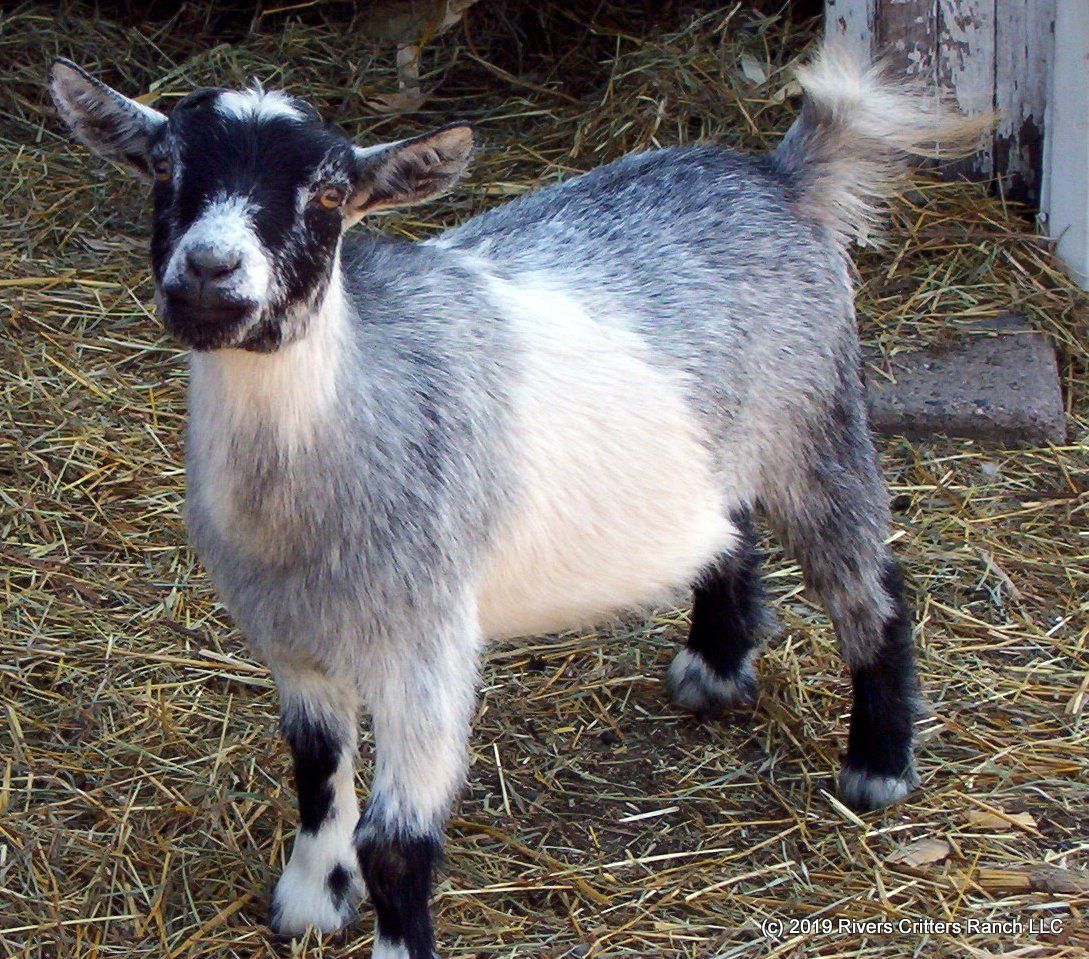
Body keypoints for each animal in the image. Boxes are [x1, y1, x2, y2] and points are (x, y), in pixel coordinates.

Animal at [48, 44, 984, 959]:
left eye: (329, 193)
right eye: (163, 168)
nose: (210, 272)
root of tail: (779, 174)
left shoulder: (425, 641)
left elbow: (396, 841)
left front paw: (391, 937)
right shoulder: (290, 632)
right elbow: (315, 773)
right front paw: (312, 899)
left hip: (815, 422)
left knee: (871, 587)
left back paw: (877, 765)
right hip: (723, 447)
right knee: (730, 526)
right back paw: (715, 666)